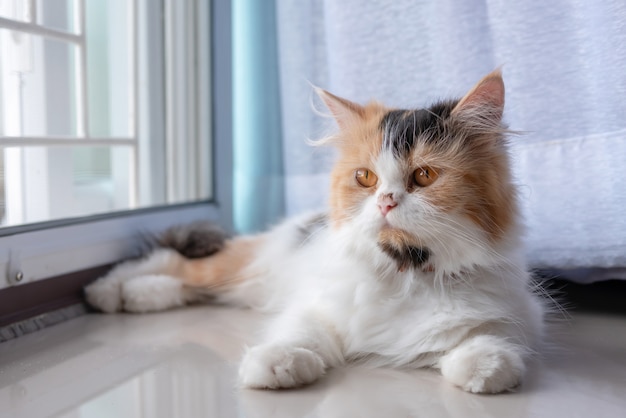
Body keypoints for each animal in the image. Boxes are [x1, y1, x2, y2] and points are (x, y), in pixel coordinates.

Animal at [85, 72, 544, 396]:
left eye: (425, 175)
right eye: (365, 177)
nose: (386, 202)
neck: (404, 273)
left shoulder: (513, 309)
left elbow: (488, 335)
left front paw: (483, 365)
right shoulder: (316, 304)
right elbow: (300, 332)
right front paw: (277, 364)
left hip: (251, 285)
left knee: (195, 285)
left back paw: (141, 295)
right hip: (249, 265)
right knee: (176, 263)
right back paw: (109, 292)